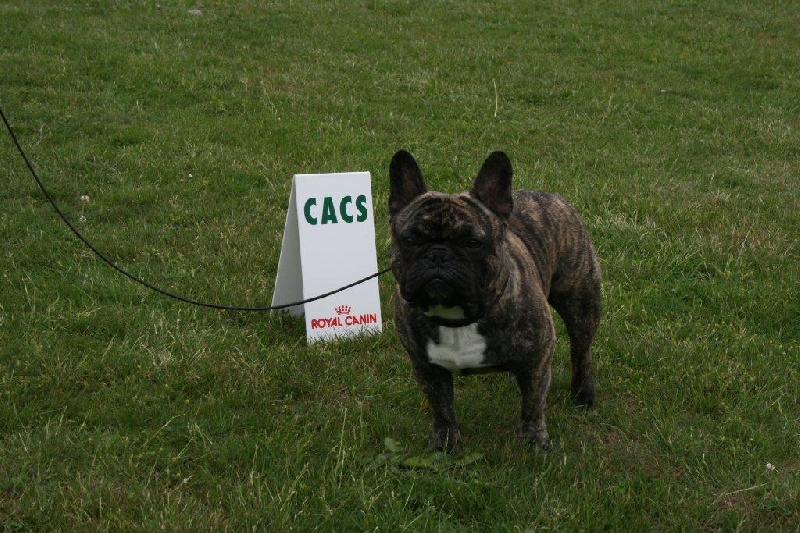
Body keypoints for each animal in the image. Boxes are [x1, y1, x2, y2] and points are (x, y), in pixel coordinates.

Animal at [389, 150, 601, 451]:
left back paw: (583, 395)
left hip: (580, 301)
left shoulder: (538, 359)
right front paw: (444, 444)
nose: (439, 254)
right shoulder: (426, 366)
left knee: (581, 350)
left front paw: (533, 443)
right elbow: (441, 406)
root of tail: (550, 195)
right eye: (409, 240)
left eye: (473, 243)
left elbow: (533, 404)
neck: (458, 316)